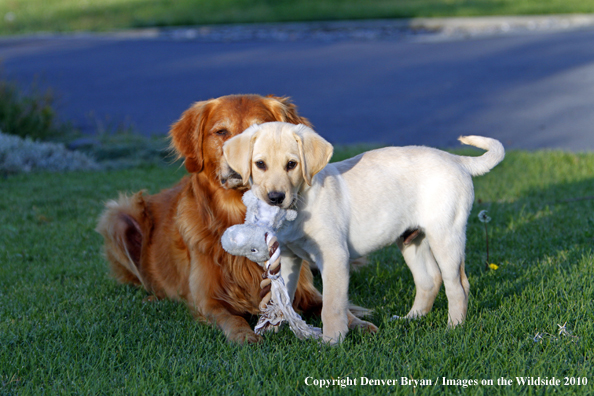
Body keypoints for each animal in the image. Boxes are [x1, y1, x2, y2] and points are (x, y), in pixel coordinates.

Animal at [95, 94, 368, 342]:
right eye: (221, 132)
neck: (239, 213)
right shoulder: (208, 299)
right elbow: (231, 318)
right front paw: (244, 335)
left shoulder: (303, 289)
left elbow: (329, 301)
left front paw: (357, 323)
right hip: (118, 217)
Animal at [222, 121, 504, 344]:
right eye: (260, 164)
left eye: (292, 164)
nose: (275, 198)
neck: (302, 201)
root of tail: (455, 159)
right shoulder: (289, 258)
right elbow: (283, 297)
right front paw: (273, 327)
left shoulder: (334, 256)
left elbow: (332, 305)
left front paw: (332, 341)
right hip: (411, 239)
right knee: (429, 280)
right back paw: (410, 319)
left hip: (445, 235)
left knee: (458, 285)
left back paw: (453, 328)